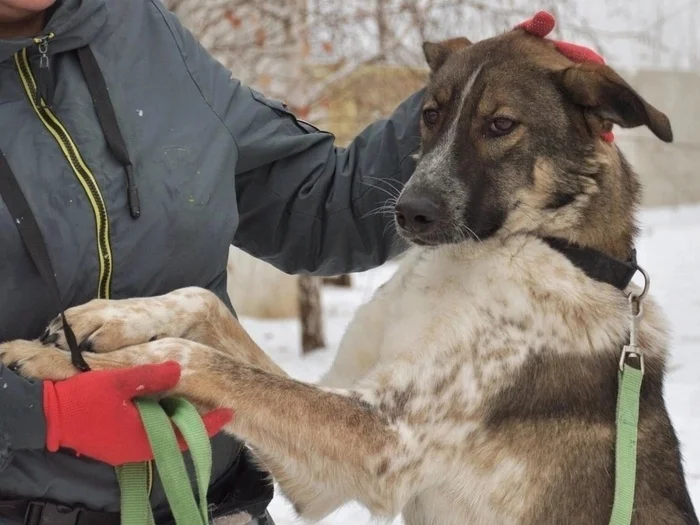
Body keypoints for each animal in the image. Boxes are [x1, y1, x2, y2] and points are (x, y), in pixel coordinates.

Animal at [2, 21, 696, 524]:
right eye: (430, 114)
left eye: (501, 125)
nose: (409, 211)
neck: (510, 247)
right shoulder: (329, 451)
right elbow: (203, 301)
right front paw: (105, 320)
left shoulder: (385, 441)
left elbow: (191, 358)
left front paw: (69, 369)